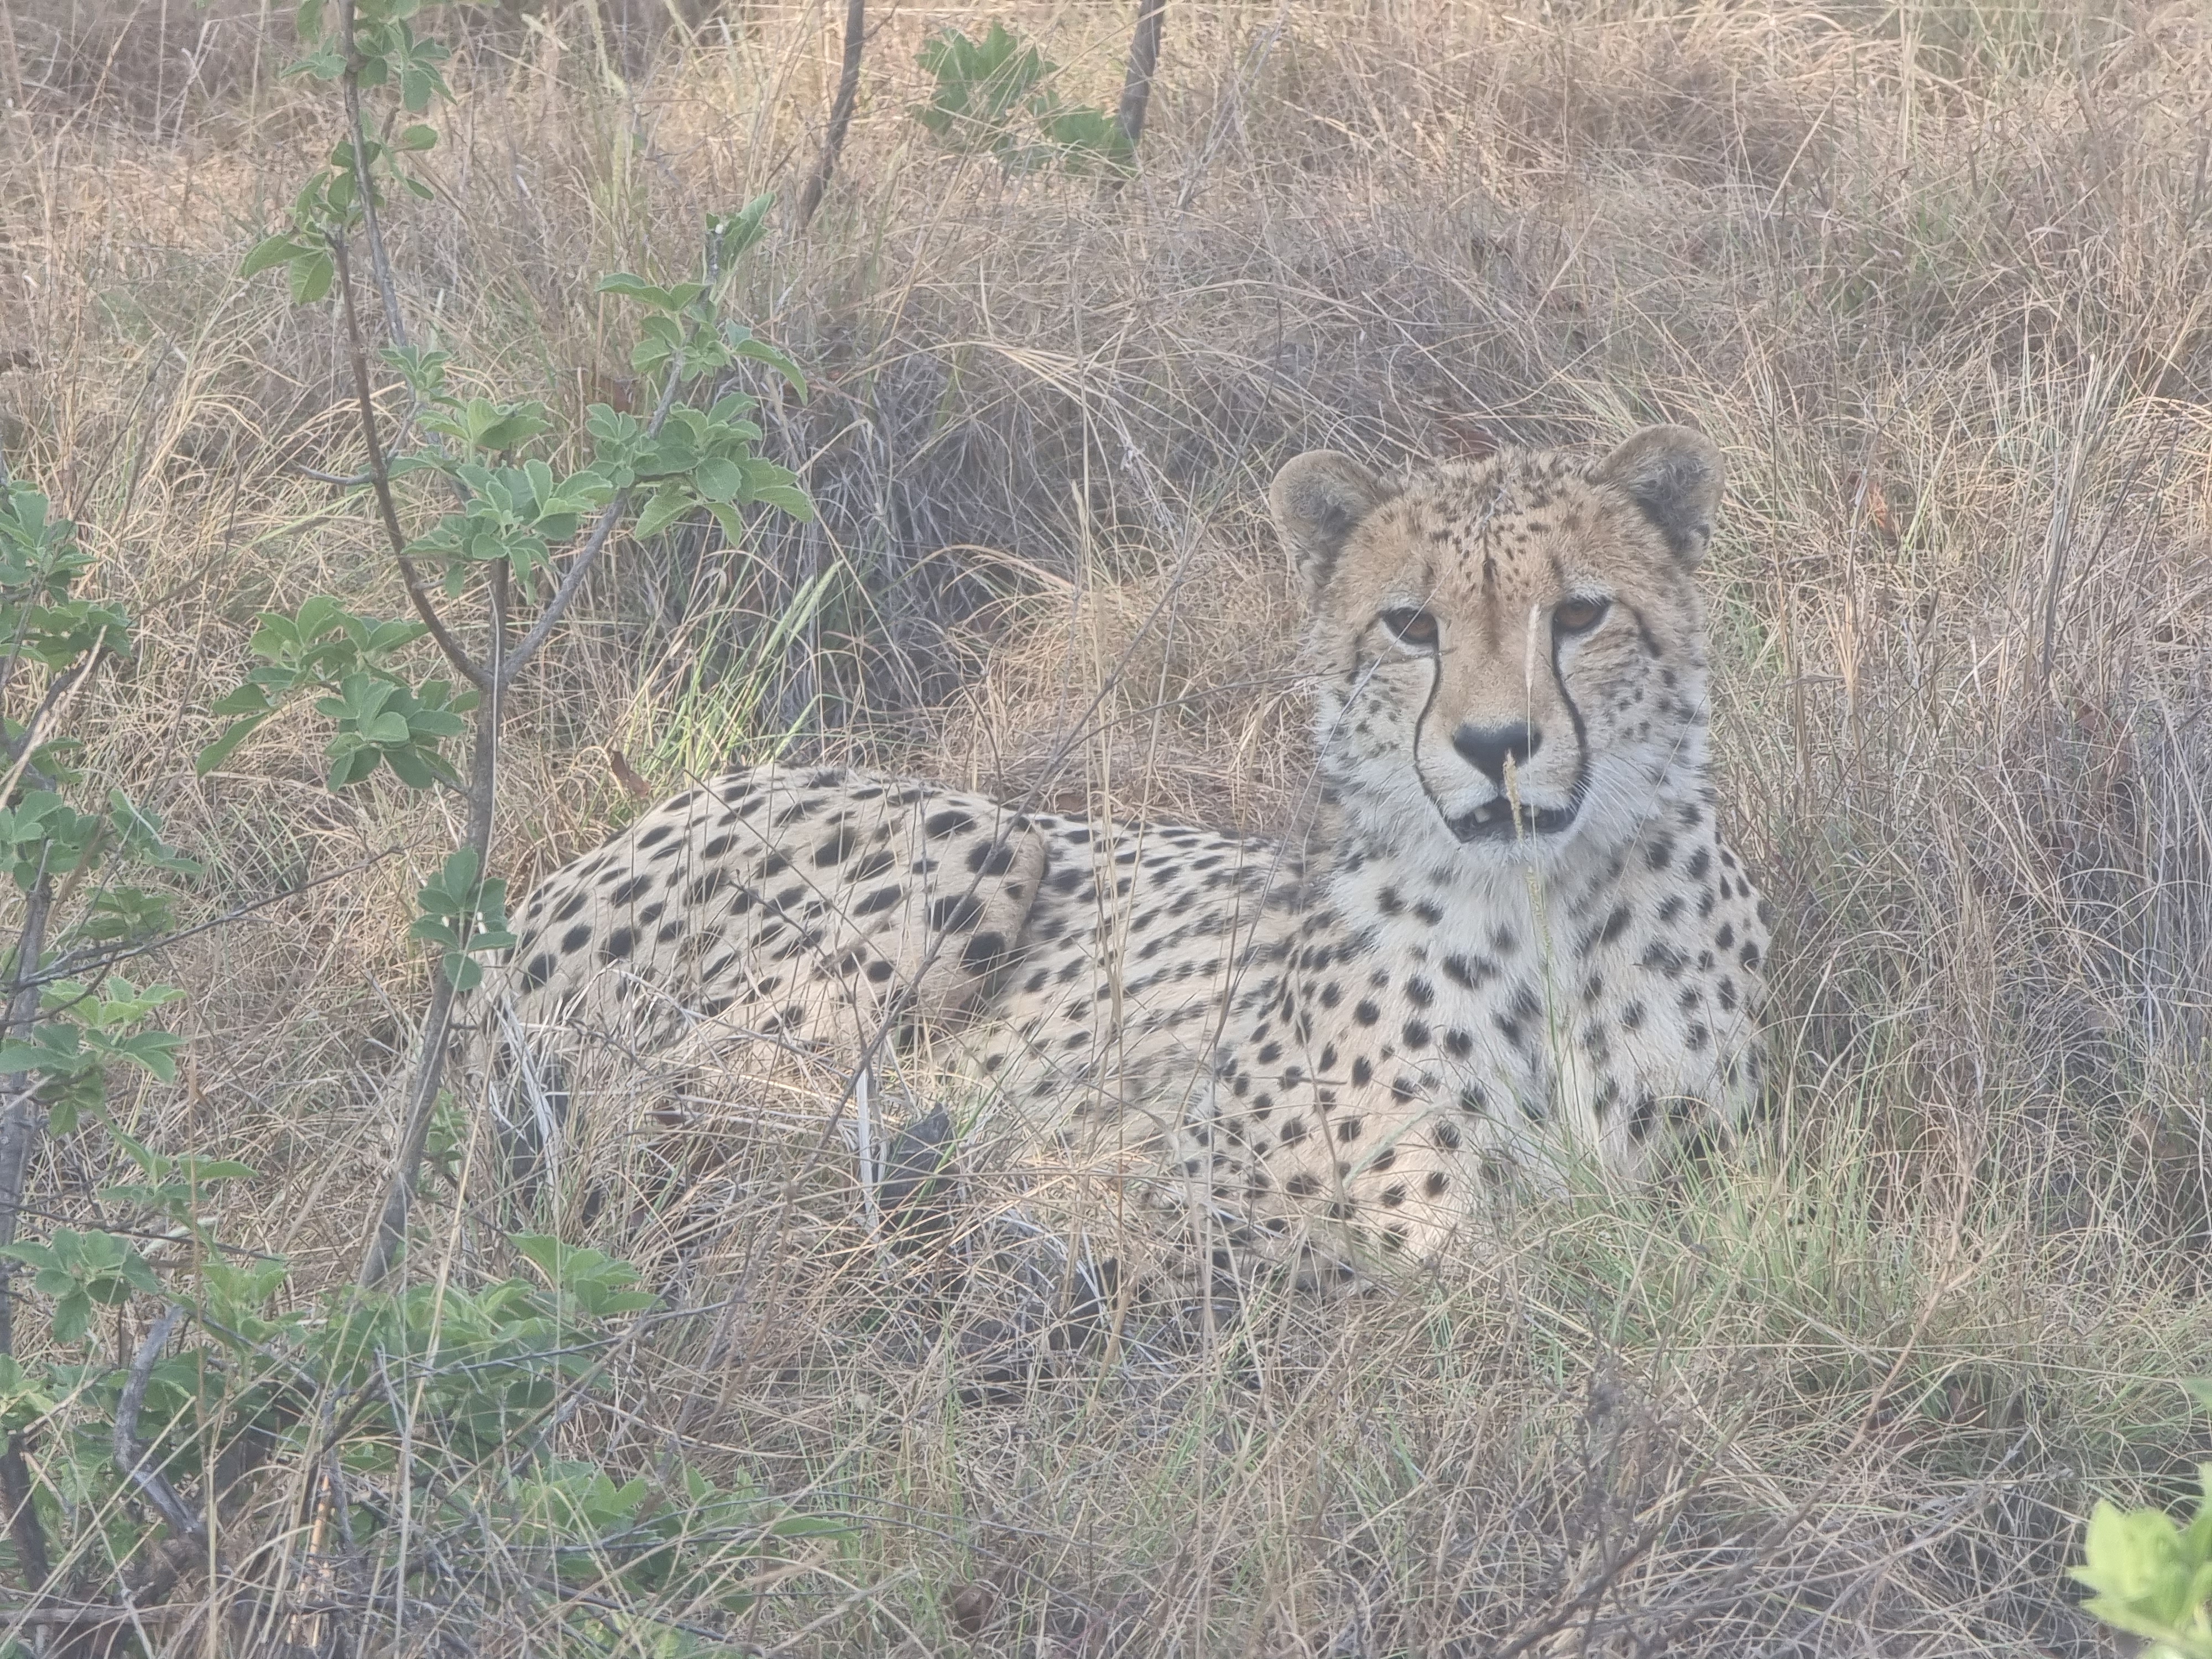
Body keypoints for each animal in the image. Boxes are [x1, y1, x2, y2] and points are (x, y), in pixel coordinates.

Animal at [472, 423, 1771, 1283]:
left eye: (1581, 615)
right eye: (1412, 626)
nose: (1496, 746)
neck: (1539, 911)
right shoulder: (1211, 1193)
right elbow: (1390, 1258)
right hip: (978, 839)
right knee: (699, 1103)